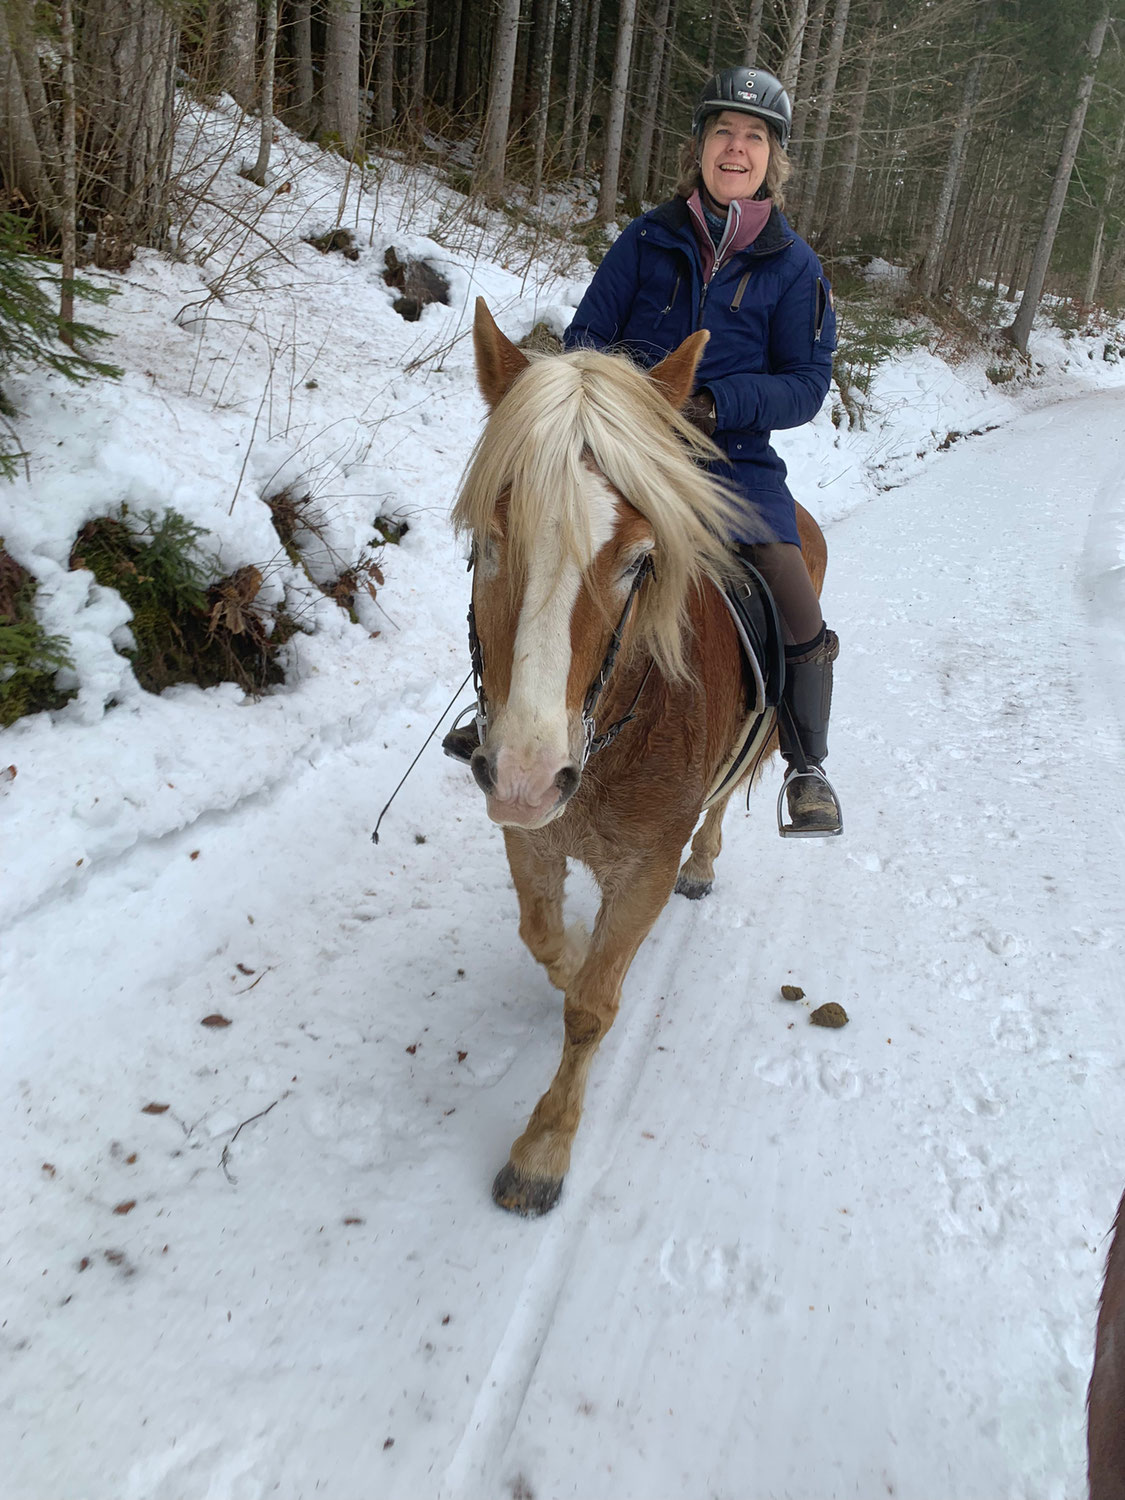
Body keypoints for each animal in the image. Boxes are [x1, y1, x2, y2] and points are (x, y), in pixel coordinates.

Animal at [453, 298, 834, 1212]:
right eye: (488, 540)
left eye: (638, 560)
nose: (524, 775)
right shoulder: (531, 840)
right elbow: (547, 943)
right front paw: (573, 952)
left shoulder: (643, 869)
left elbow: (592, 1008)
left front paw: (543, 1148)